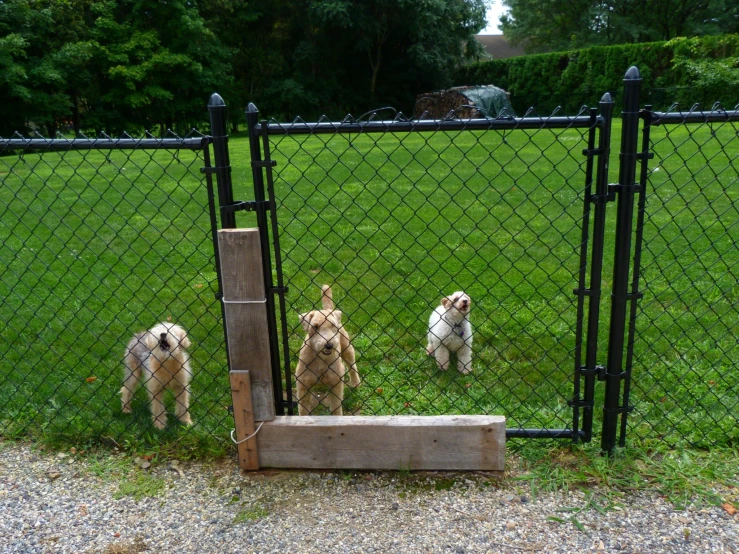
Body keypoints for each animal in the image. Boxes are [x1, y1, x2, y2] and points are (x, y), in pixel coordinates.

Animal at [294, 284, 360, 414]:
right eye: (315, 327)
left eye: (333, 325)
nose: (329, 345)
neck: (321, 359)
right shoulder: (303, 384)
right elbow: (303, 408)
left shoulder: (336, 383)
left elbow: (336, 407)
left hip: (347, 349)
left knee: (352, 366)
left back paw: (355, 383)